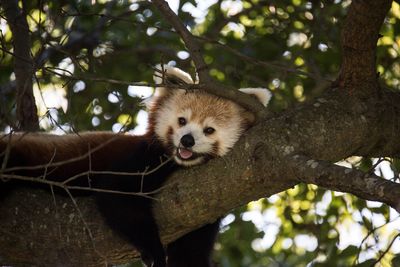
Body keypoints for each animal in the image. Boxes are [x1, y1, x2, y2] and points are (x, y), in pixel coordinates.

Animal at [0, 65, 270, 267]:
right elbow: (116, 195)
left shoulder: (205, 208)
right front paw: (154, 251)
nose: (187, 140)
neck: (177, 166)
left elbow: (191, 251)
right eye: (182, 121)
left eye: (209, 130)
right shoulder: (140, 159)